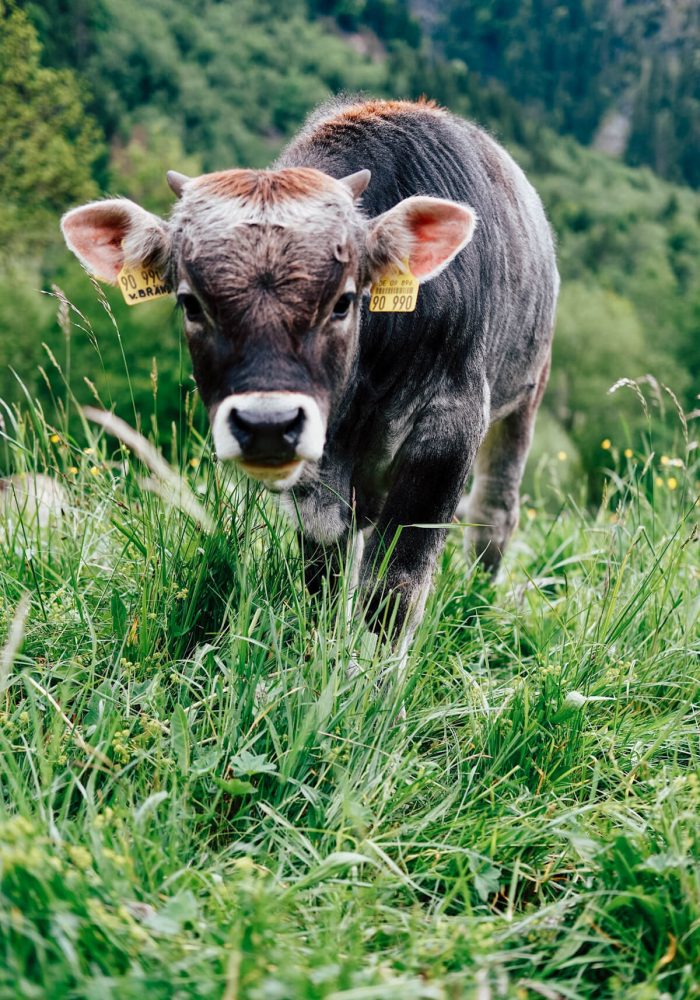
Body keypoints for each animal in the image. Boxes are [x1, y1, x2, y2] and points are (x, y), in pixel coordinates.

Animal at [61, 97, 559, 664]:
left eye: (344, 301)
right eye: (190, 302)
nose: (267, 424)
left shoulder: (449, 428)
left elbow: (395, 589)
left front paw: (374, 679)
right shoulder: (317, 469)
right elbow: (324, 573)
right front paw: (324, 660)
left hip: (525, 394)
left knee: (495, 510)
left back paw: (478, 598)